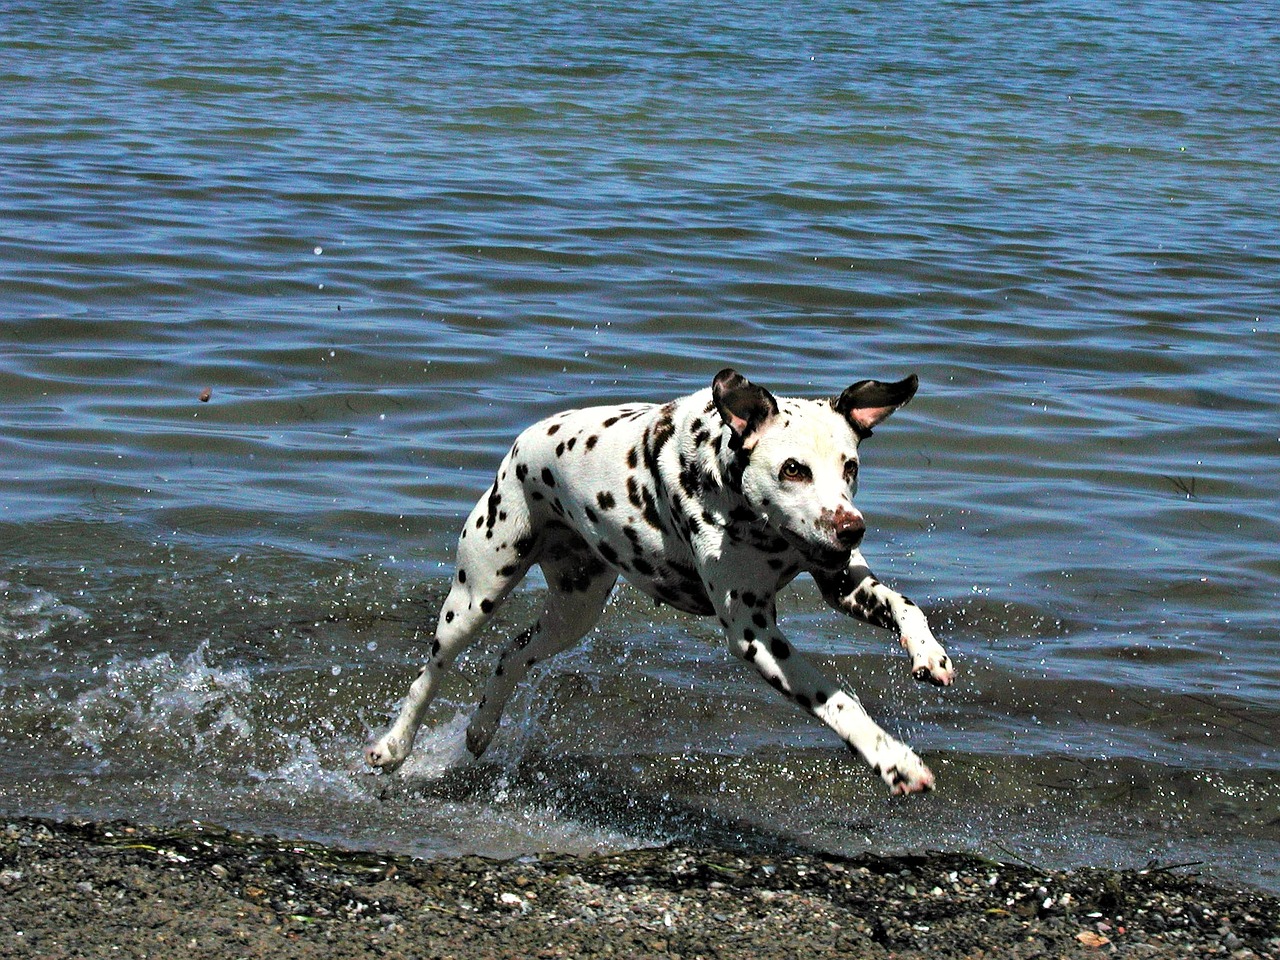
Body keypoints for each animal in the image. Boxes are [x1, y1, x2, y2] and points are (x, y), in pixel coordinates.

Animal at [366, 368, 957, 798]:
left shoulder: (841, 580)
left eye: (849, 465)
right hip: (475, 596)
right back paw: (392, 747)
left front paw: (928, 654)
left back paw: (481, 729)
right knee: (429, 675)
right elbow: (838, 703)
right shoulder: (754, 634)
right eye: (794, 468)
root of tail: (523, 443)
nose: (852, 527)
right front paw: (895, 761)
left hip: (574, 612)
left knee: (512, 654)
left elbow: (906, 605)